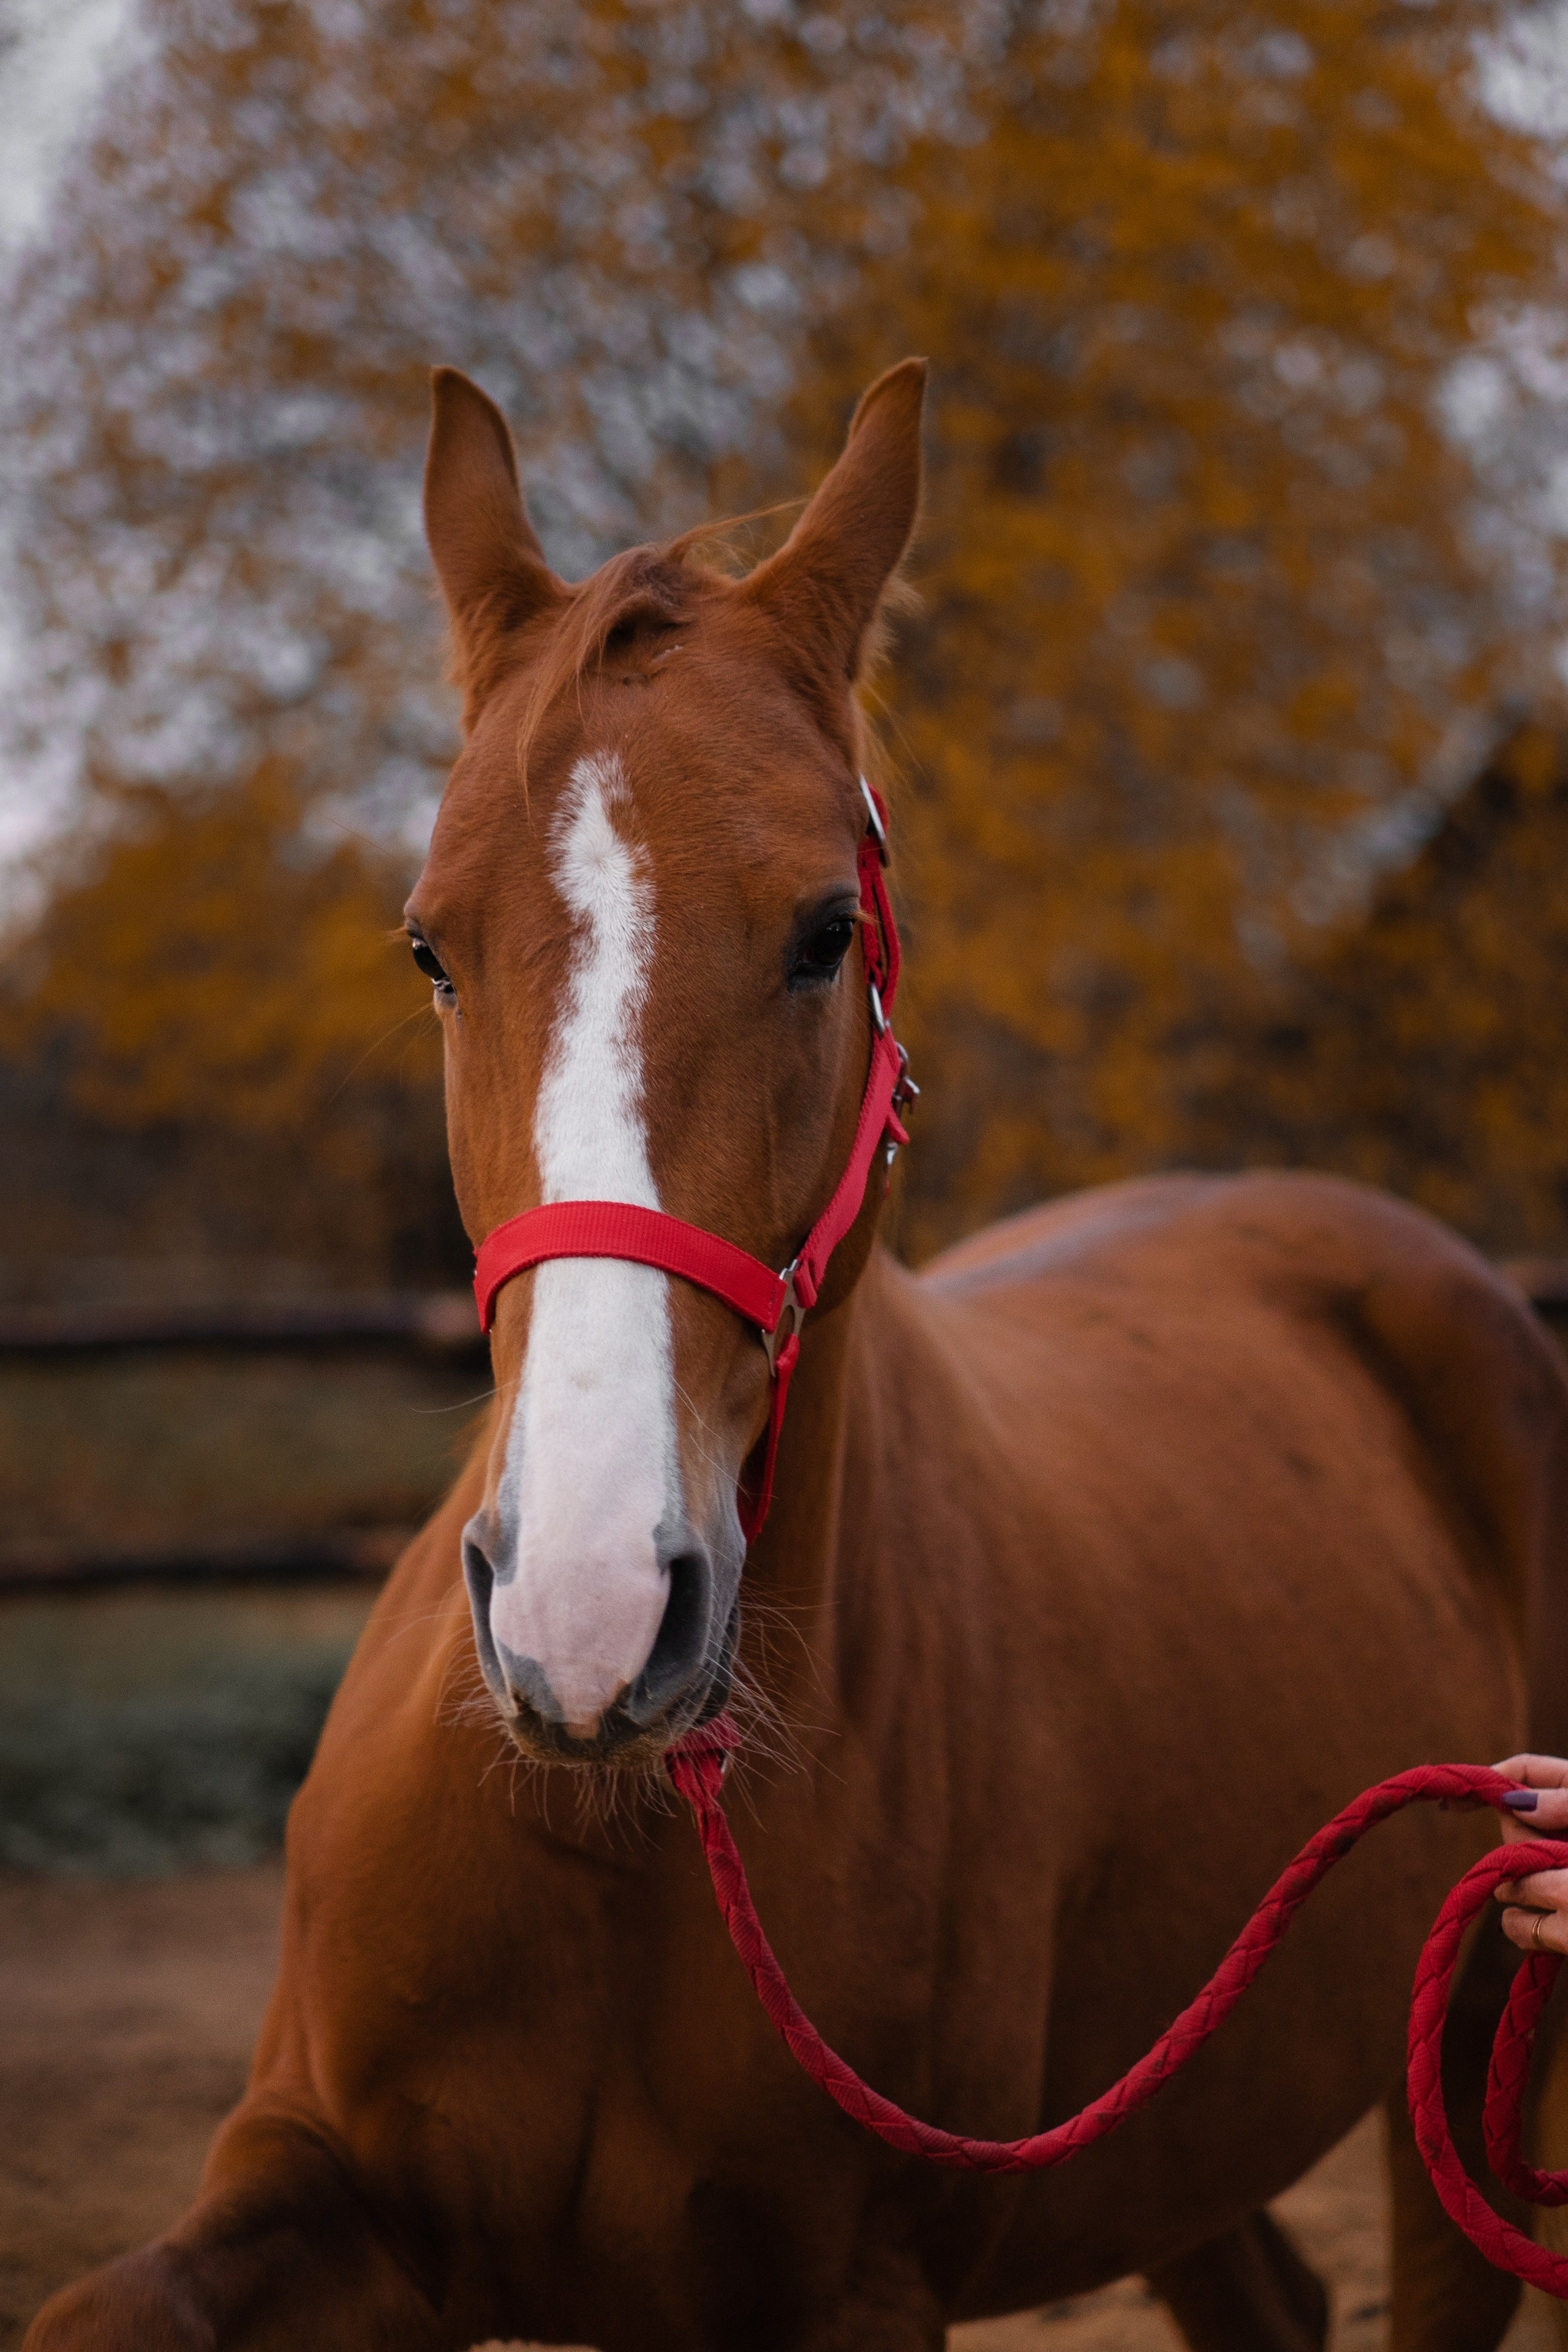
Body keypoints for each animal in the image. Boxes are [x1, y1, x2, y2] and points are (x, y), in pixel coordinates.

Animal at [28, 358, 1568, 2352]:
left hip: (1460, 2039)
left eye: (825, 930)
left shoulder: (850, 2284)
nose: (591, 1609)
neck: (615, 1841)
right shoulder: (324, 2195)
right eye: (429, 944)